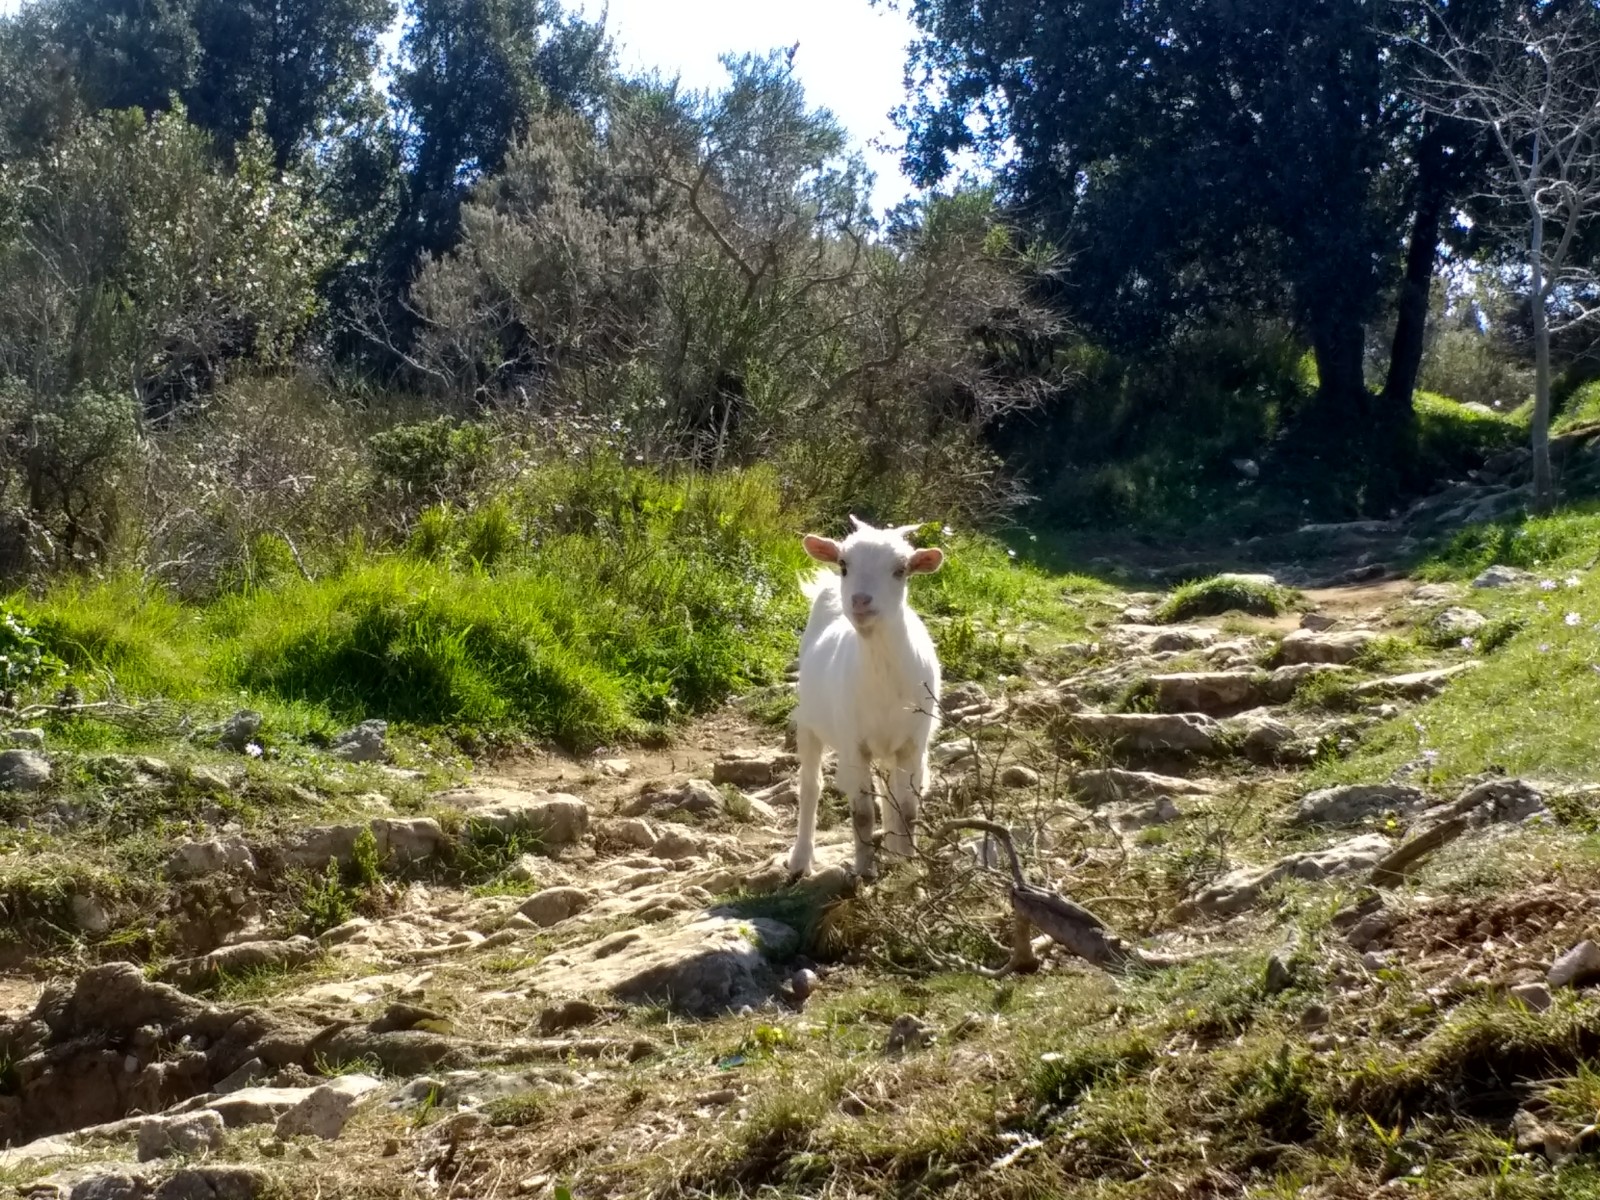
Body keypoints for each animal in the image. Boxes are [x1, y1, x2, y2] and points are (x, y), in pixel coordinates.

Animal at [787, 515, 945, 880]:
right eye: (844, 564)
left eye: (901, 570)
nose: (860, 601)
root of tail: (828, 589)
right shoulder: (853, 744)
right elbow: (861, 813)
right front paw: (863, 870)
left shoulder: (913, 744)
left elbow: (908, 809)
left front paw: (907, 863)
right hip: (809, 723)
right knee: (811, 786)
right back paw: (801, 859)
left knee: (889, 795)